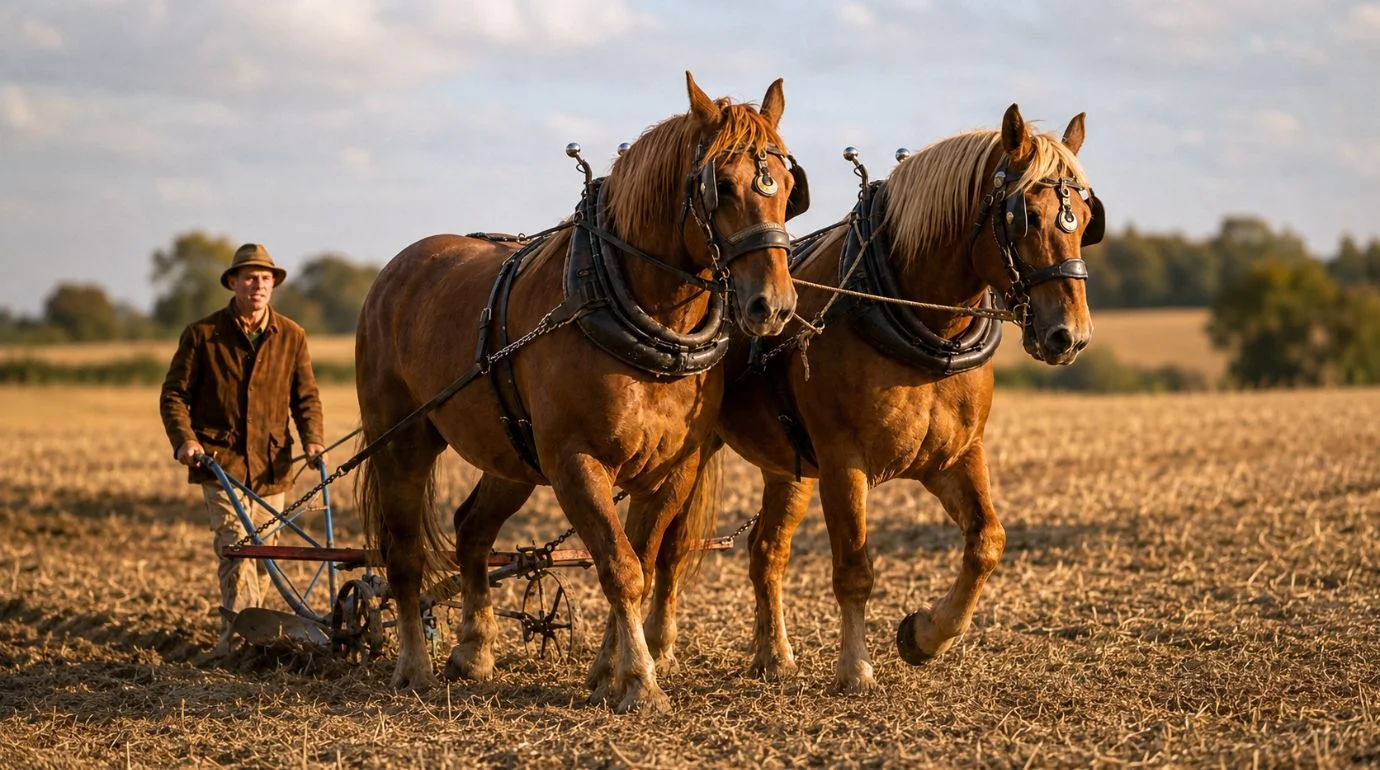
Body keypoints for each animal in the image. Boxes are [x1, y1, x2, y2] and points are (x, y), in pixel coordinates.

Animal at [354, 72, 805, 713]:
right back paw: (414, 666)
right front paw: (639, 681)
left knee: (471, 530)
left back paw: (473, 652)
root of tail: (396, 269)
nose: (776, 305)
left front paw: (608, 671)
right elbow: (620, 568)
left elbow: (642, 564)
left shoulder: (672, 471)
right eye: (721, 185)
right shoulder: (575, 463)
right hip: (402, 442)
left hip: (512, 457)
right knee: (404, 553)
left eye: (787, 187)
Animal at [634, 104, 1102, 692]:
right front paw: (855, 667)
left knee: (766, 551)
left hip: (789, 467)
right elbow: (855, 568)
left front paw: (925, 635)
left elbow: (987, 543)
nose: (1071, 336)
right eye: (1026, 218)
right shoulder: (843, 461)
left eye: (1084, 219)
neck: (919, 319)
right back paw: (659, 646)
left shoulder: (956, 457)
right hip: (692, 455)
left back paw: (774, 655)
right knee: (669, 547)